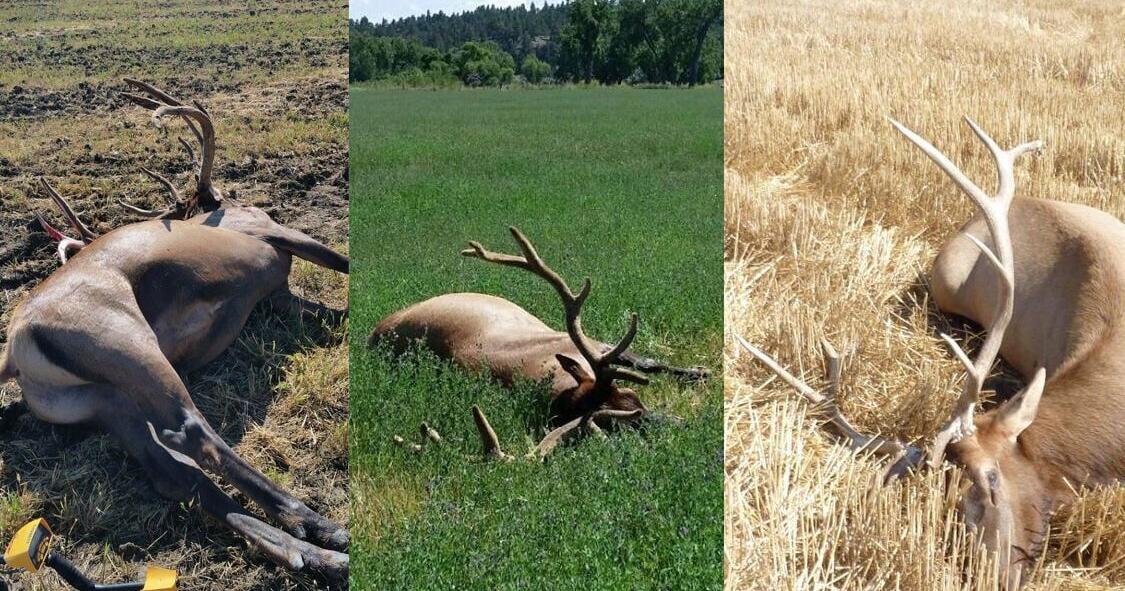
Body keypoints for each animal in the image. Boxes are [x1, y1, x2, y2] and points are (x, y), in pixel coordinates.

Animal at [0, 79, 349, 580]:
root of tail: (12, 353)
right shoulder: (275, 235)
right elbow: (343, 262)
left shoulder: (280, 297)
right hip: (131, 346)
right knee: (191, 433)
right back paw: (319, 525)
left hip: (107, 399)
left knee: (175, 475)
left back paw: (313, 554)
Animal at [368, 227, 706, 456]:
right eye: (622, 423)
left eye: (633, 398)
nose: (684, 425)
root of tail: (374, 333)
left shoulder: (584, 342)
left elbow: (647, 361)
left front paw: (698, 372)